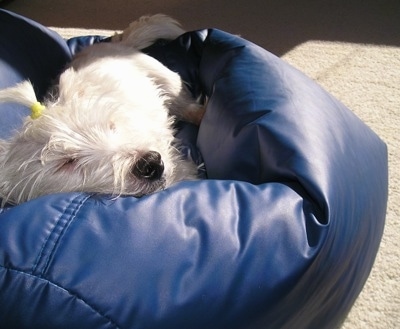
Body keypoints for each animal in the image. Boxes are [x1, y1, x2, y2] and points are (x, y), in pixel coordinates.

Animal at [0, 16, 205, 205]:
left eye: (110, 126)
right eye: (66, 162)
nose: (150, 163)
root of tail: (115, 44)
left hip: (165, 77)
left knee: (185, 104)